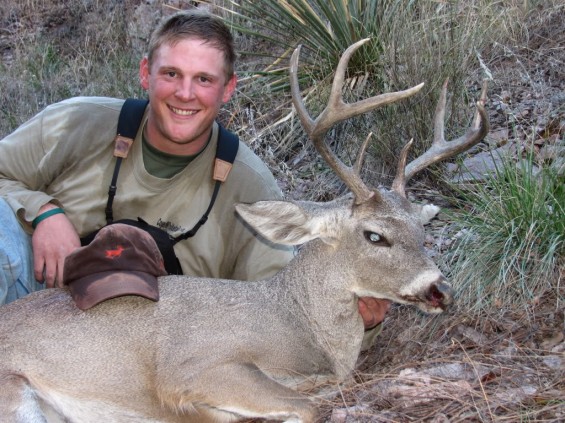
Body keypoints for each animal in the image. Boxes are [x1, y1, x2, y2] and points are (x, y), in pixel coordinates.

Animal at [0, 38, 484, 422]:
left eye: (422, 230)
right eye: (374, 235)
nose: (441, 289)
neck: (297, 326)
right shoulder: (195, 365)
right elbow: (305, 407)